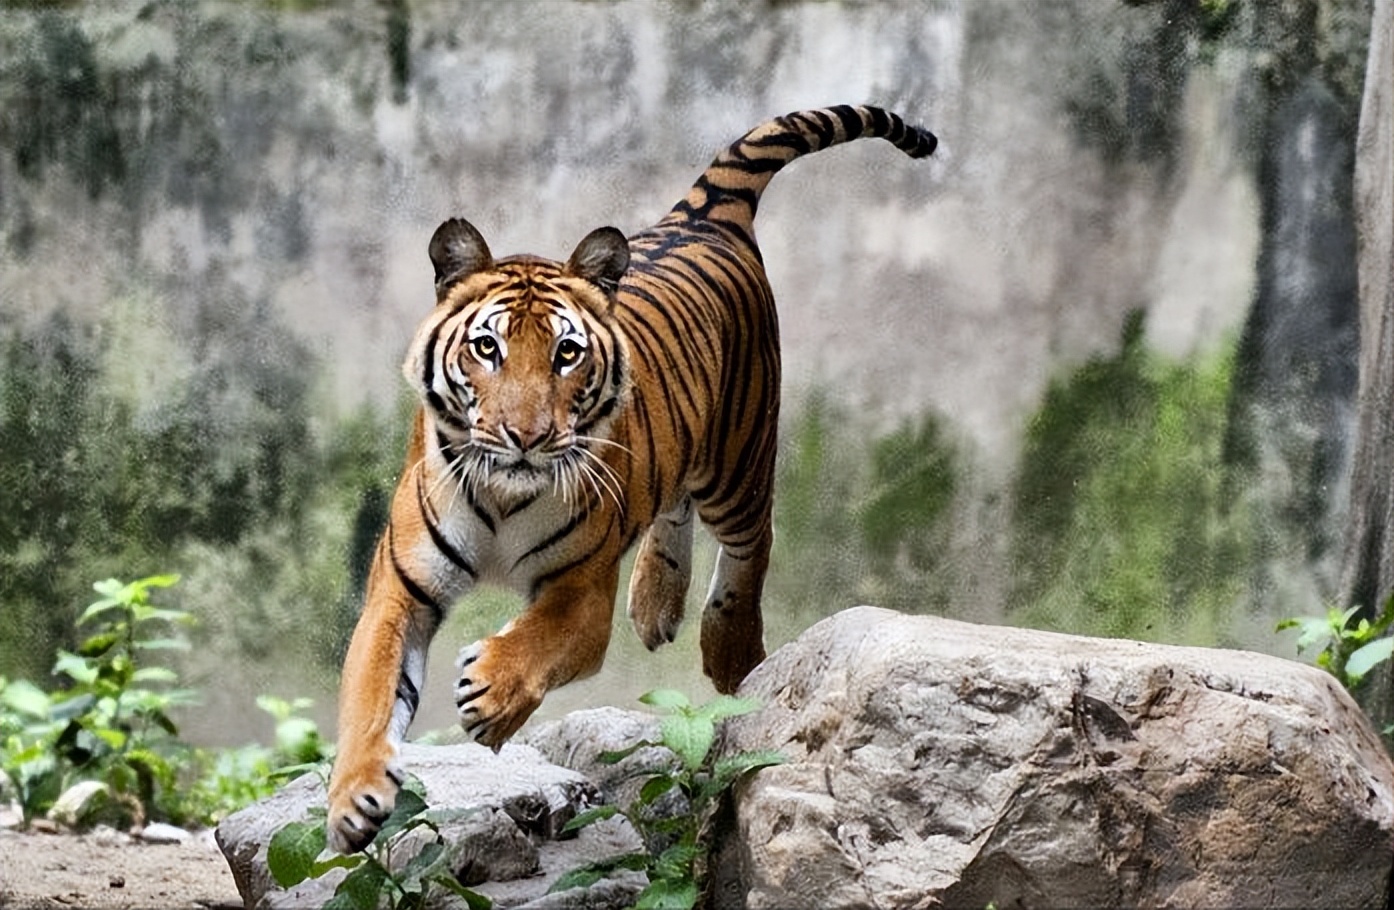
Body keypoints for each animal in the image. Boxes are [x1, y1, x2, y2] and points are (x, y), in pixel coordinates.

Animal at [326, 106, 936, 852]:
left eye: (565, 354)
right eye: (486, 348)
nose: (525, 436)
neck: (504, 493)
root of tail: (704, 212)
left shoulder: (582, 594)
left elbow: (537, 642)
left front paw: (491, 695)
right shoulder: (400, 590)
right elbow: (372, 690)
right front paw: (354, 799)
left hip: (737, 458)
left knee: (751, 543)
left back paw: (731, 653)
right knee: (671, 507)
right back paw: (655, 603)